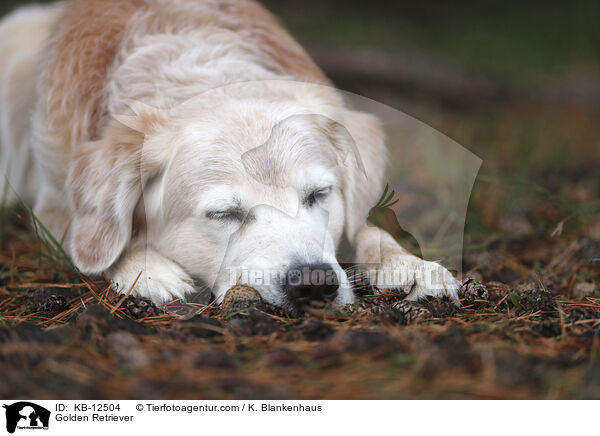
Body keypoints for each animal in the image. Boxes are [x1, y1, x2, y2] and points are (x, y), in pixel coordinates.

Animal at [0, 0, 460, 314]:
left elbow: (367, 227)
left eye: (318, 195)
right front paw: (145, 268)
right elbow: (98, 244)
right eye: (224, 215)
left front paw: (406, 264)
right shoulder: (53, 206)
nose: (314, 283)